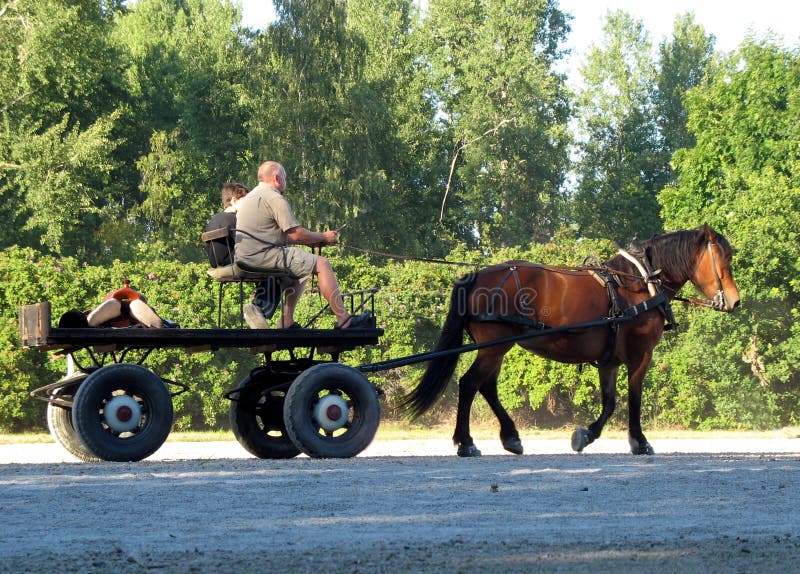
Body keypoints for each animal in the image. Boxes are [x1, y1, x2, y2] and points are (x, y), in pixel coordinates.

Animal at [400, 227, 744, 456]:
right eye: (723, 258)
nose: (735, 300)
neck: (639, 284)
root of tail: (477, 276)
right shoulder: (640, 355)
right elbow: (633, 398)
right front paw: (639, 441)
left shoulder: (609, 361)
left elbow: (609, 402)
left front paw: (585, 435)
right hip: (494, 346)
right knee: (470, 384)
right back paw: (466, 442)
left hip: (494, 348)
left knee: (486, 387)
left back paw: (510, 437)